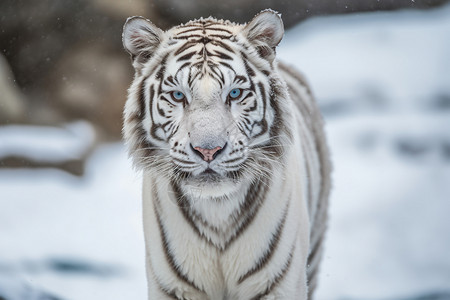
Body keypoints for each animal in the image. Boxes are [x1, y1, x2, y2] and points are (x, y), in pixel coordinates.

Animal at [121, 9, 332, 300]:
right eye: (178, 95)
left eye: (234, 93)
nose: (208, 150)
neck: (217, 211)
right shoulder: (174, 287)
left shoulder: (277, 284)